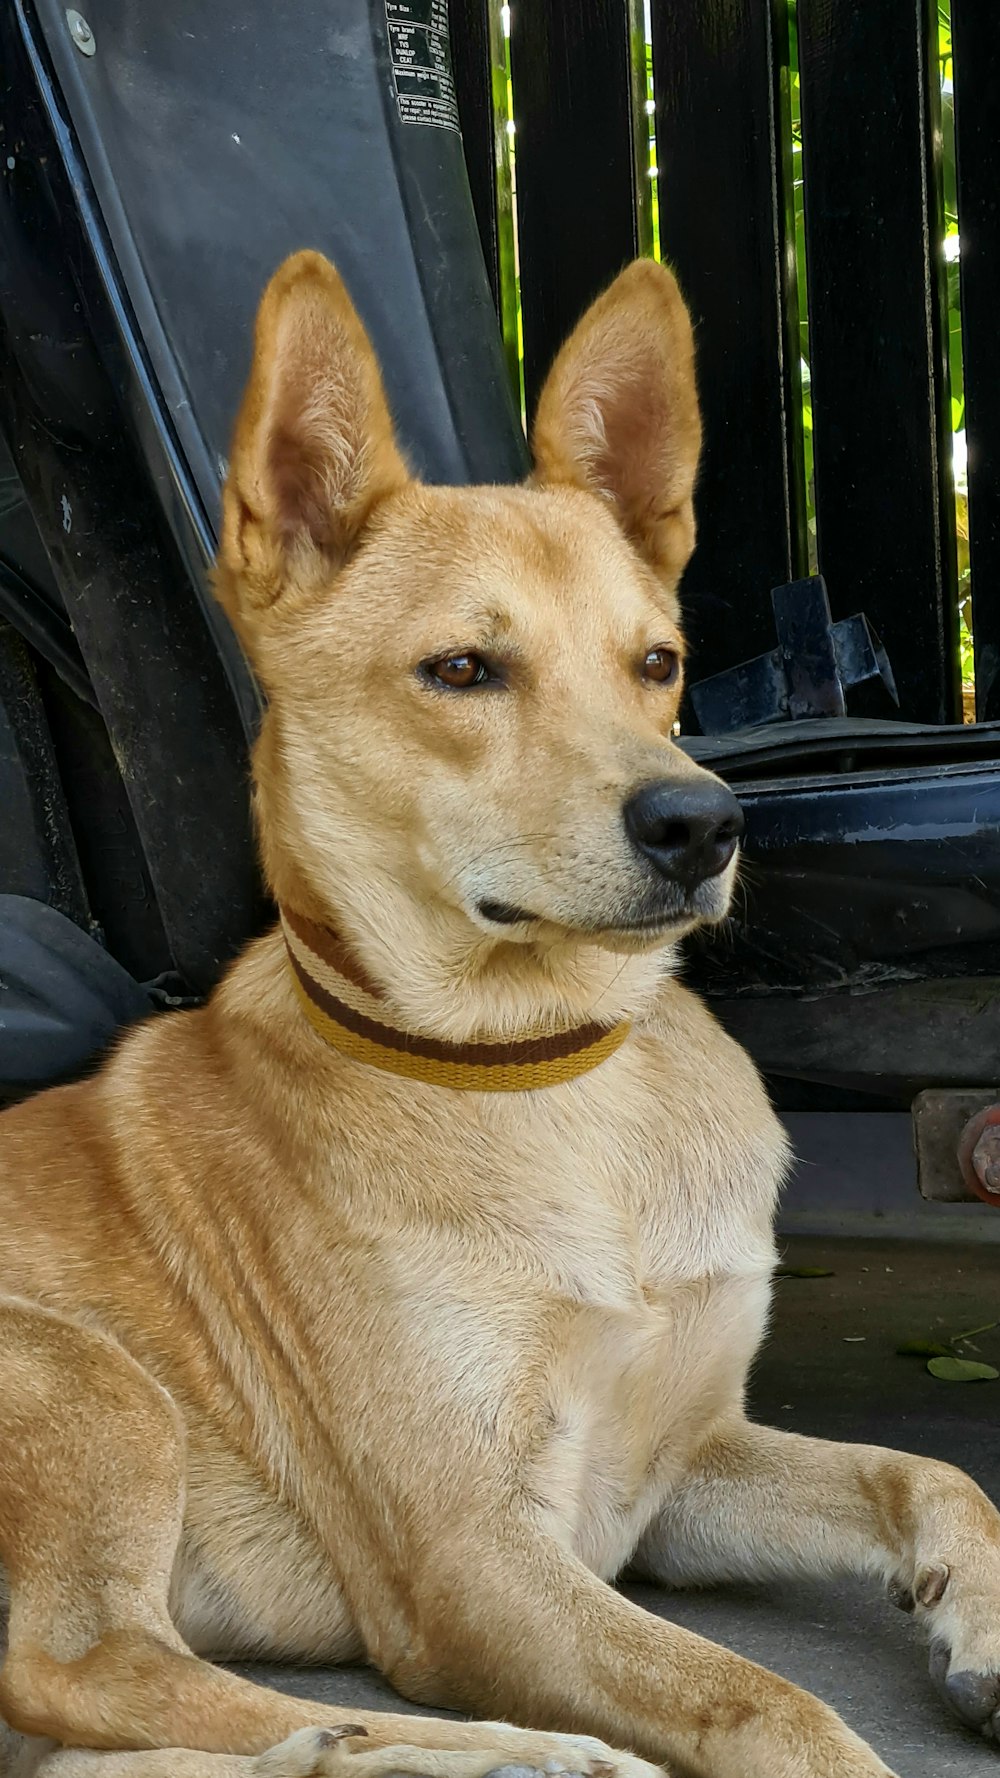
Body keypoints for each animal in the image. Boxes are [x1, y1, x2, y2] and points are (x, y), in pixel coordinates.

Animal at [1, 254, 996, 1778]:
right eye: (464, 670)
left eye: (658, 663)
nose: (704, 824)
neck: (545, 1073)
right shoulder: (473, 1559)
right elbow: (758, 1692)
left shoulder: (674, 1469)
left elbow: (931, 1471)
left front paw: (977, 1613)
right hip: (88, 1380)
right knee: (90, 1665)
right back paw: (493, 1748)